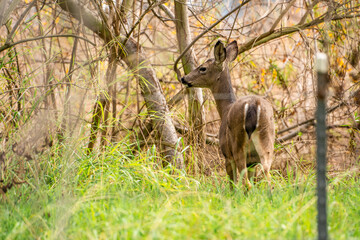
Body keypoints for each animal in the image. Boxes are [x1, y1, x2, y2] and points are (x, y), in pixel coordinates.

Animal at [181, 40, 274, 189]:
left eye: (203, 68)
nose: (184, 78)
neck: (225, 109)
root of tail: (253, 105)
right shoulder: (252, 163)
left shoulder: (227, 155)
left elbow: (232, 185)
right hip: (266, 144)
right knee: (268, 179)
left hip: (238, 146)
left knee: (246, 183)